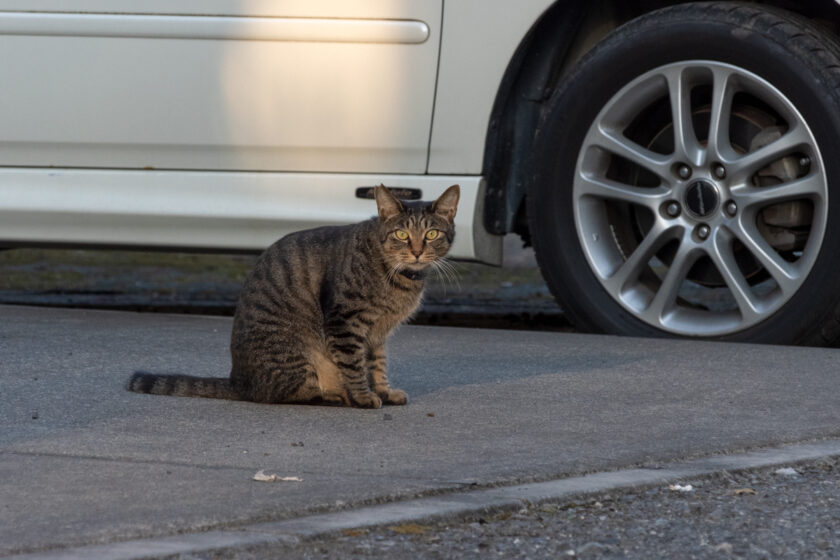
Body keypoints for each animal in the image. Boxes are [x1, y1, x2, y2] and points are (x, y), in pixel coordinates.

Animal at [129, 186, 460, 410]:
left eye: (431, 234)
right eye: (402, 235)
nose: (416, 251)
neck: (399, 277)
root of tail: (239, 381)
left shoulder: (377, 334)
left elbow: (377, 365)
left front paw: (384, 391)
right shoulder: (345, 322)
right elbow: (355, 365)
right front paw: (364, 396)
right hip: (296, 354)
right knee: (292, 395)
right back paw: (335, 396)